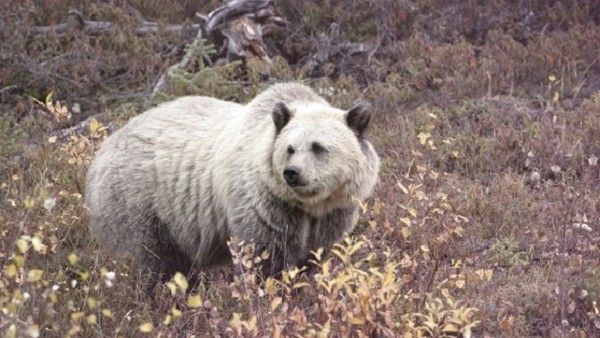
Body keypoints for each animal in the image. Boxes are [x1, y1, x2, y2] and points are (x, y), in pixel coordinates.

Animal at [84, 83, 378, 284]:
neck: (309, 205)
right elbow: (265, 255)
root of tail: (101, 152)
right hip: (141, 203)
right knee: (157, 261)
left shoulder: (333, 213)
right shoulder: (265, 204)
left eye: (318, 147)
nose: (292, 173)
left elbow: (314, 256)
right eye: (290, 148)